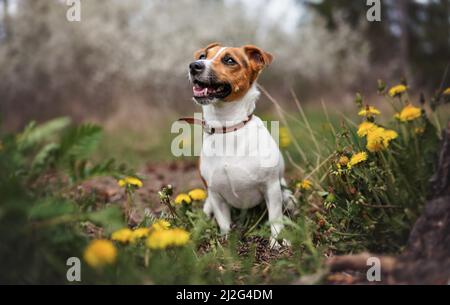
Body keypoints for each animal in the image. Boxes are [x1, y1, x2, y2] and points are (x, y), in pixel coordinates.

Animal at [185, 42, 294, 247]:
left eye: (229, 60)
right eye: (203, 56)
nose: (194, 65)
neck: (228, 127)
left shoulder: (271, 188)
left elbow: (275, 218)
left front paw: (277, 242)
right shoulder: (216, 195)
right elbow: (224, 223)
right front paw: (226, 242)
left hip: (286, 194)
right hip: (208, 202)